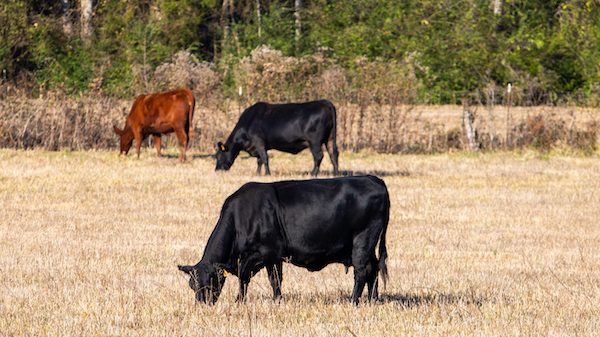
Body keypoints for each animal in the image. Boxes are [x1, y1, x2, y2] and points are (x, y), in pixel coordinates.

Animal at [177, 175, 390, 304]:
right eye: (192, 285)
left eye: (210, 281)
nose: (203, 304)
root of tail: (373, 179)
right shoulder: (265, 258)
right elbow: (260, 280)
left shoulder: (268, 253)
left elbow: (264, 279)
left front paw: (252, 300)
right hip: (368, 246)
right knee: (373, 268)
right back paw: (372, 299)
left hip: (363, 240)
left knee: (362, 270)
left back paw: (353, 301)